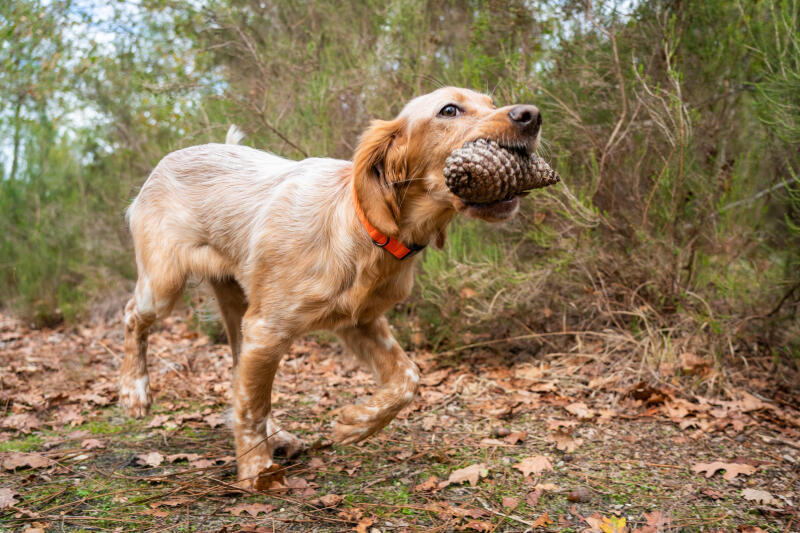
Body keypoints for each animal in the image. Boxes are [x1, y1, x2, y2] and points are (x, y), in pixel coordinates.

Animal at [120, 86, 544, 486]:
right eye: (449, 110)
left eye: (490, 101)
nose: (532, 115)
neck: (365, 231)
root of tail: (167, 160)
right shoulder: (268, 329)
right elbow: (253, 406)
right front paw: (257, 471)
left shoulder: (360, 322)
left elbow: (408, 378)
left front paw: (356, 423)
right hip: (164, 285)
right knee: (133, 317)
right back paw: (134, 393)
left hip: (238, 307)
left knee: (238, 376)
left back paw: (279, 436)